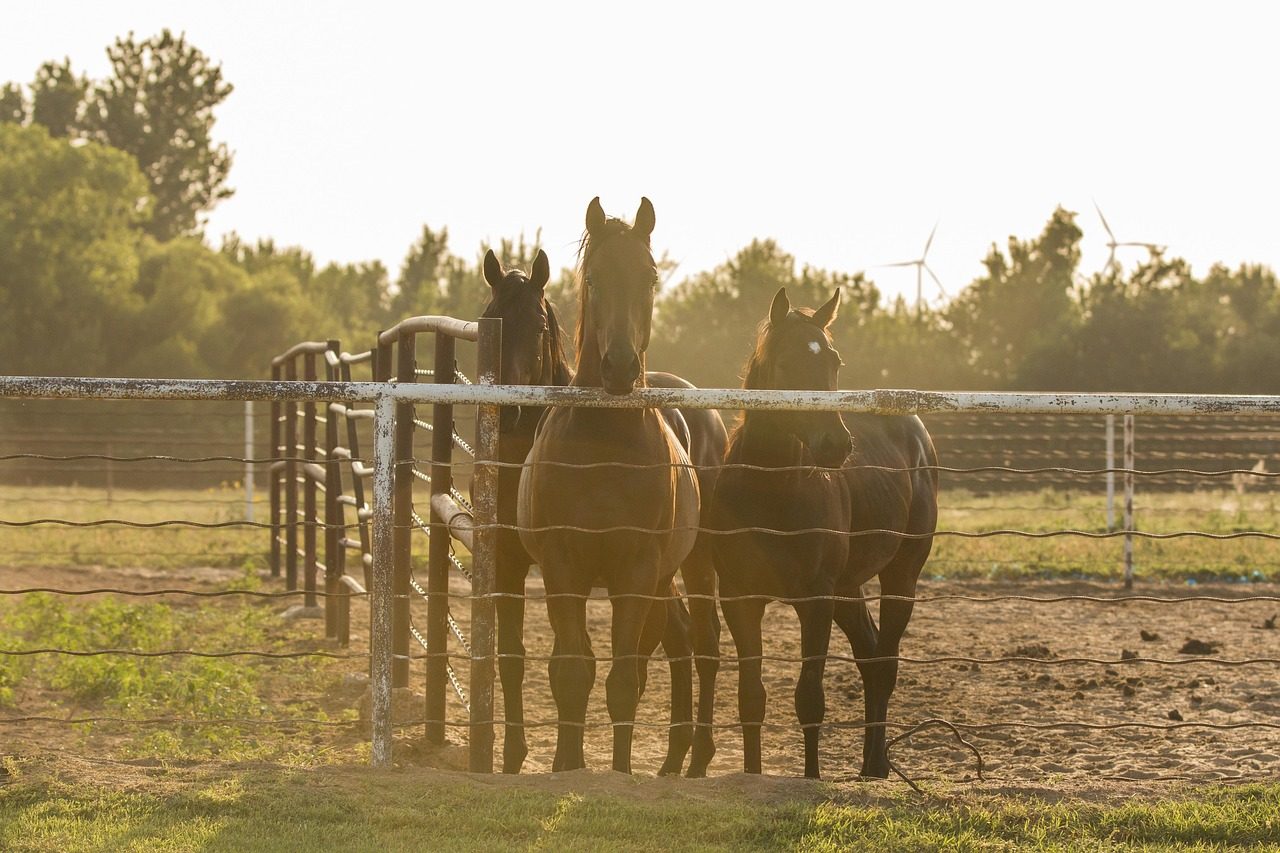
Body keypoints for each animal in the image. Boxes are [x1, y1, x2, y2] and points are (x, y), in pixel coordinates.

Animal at [479, 248, 725, 775]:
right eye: (492, 318)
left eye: (539, 327)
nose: (507, 410)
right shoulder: (511, 563)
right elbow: (515, 657)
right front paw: (515, 756)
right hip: (662, 572)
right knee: (678, 636)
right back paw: (674, 758)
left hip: (695, 558)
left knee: (705, 641)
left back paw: (697, 756)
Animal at [708, 287, 939, 779]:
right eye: (785, 363)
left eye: (834, 361)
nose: (835, 445)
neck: (771, 488)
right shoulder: (740, 598)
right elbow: (751, 699)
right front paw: (752, 774)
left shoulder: (815, 600)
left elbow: (809, 700)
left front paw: (812, 778)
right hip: (847, 589)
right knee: (870, 656)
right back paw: (874, 761)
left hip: (900, 577)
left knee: (884, 662)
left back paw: (876, 764)